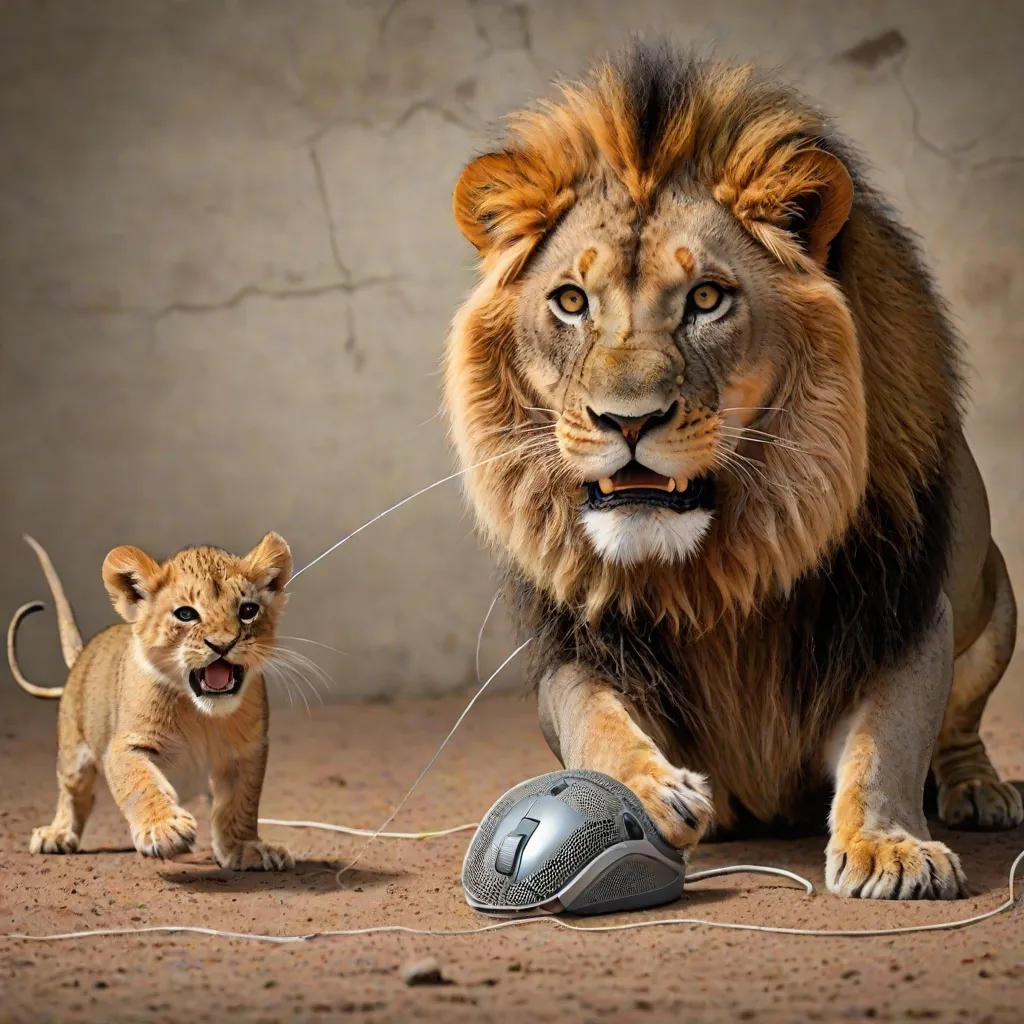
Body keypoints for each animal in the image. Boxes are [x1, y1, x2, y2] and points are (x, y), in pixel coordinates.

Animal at [8, 533, 294, 870]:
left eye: (248, 610)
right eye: (186, 614)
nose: (223, 644)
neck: (201, 714)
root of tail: (83, 654)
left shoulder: (246, 752)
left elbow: (241, 804)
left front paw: (247, 848)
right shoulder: (126, 745)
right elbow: (141, 783)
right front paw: (165, 830)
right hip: (73, 753)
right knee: (74, 793)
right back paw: (57, 834)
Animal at [444, 44, 1020, 899]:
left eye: (708, 298)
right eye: (571, 301)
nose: (628, 420)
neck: (712, 572)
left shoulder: (902, 611)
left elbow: (889, 736)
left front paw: (888, 847)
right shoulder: (579, 645)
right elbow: (595, 721)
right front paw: (654, 792)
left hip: (996, 598)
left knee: (960, 723)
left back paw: (980, 788)